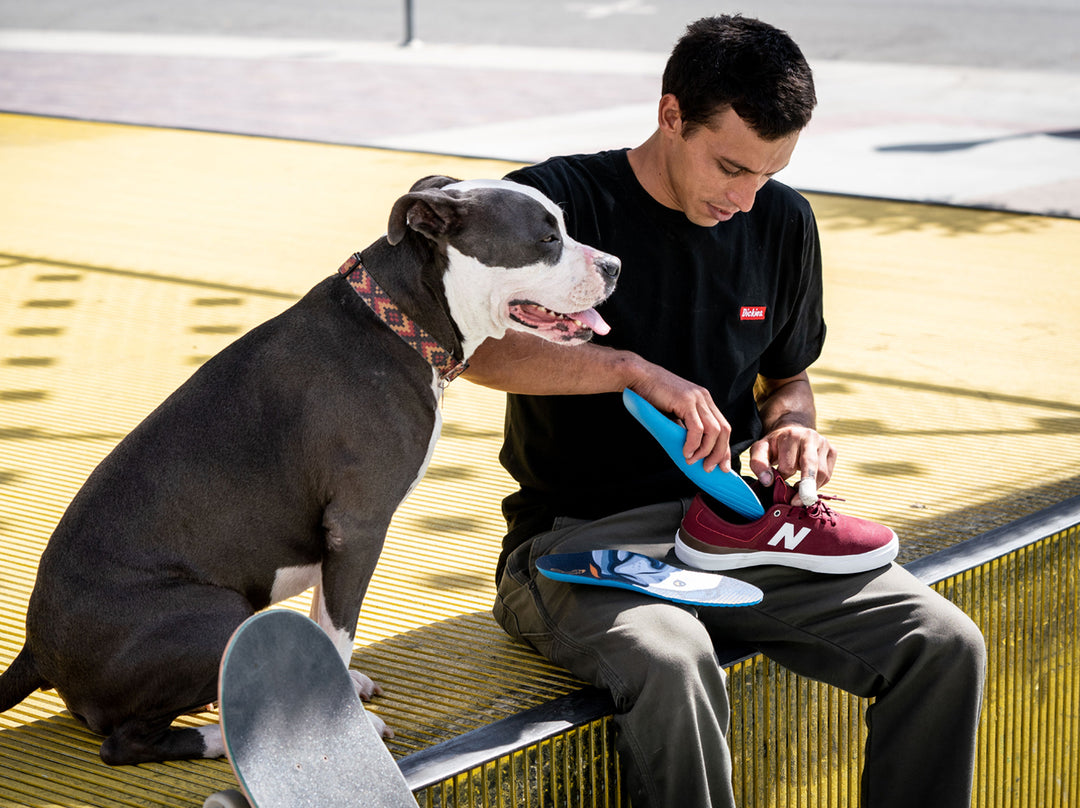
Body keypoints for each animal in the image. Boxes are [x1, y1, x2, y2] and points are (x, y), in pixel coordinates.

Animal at [0, 174, 622, 764]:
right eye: (546, 239)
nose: (615, 265)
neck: (398, 319)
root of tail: (36, 650)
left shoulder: (336, 539)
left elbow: (326, 623)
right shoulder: (359, 526)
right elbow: (341, 628)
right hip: (216, 612)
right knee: (124, 742)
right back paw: (218, 736)